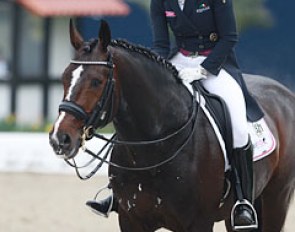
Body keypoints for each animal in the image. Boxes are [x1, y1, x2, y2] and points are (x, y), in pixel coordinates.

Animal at [49, 20, 295, 232]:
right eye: (64, 77)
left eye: (96, 81)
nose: (60, 139)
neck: (153, 149)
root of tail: (284, 93)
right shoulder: (131, 221)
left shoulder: (198, 223)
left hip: (276, 199)